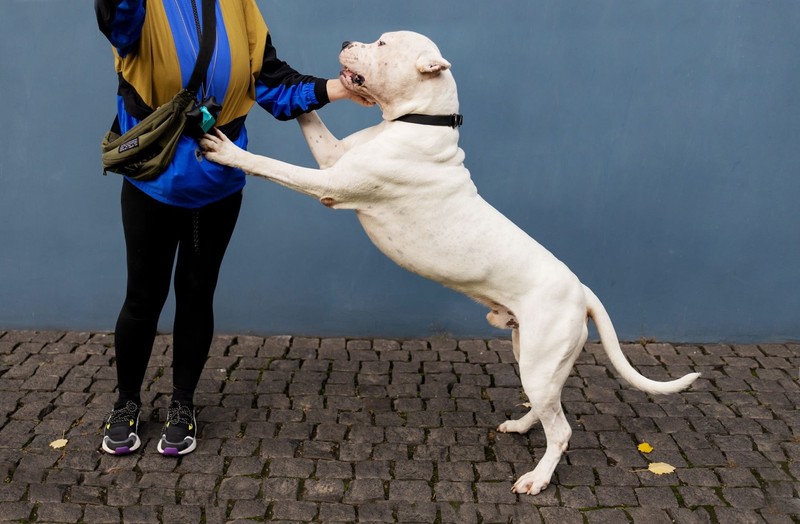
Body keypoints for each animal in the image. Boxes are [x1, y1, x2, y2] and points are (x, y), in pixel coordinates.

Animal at [202, 29, 700, 496]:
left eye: (382, 43)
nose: (346, 41)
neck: (418, 121)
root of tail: (582, 290)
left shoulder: (330, 183)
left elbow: (272, 166)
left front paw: (230, 152)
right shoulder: (332, 156)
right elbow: (310, 118)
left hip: (540, 361)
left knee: (560, 429)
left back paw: (537, 478)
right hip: (532, 356)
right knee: (548, 408)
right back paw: (521, 427)